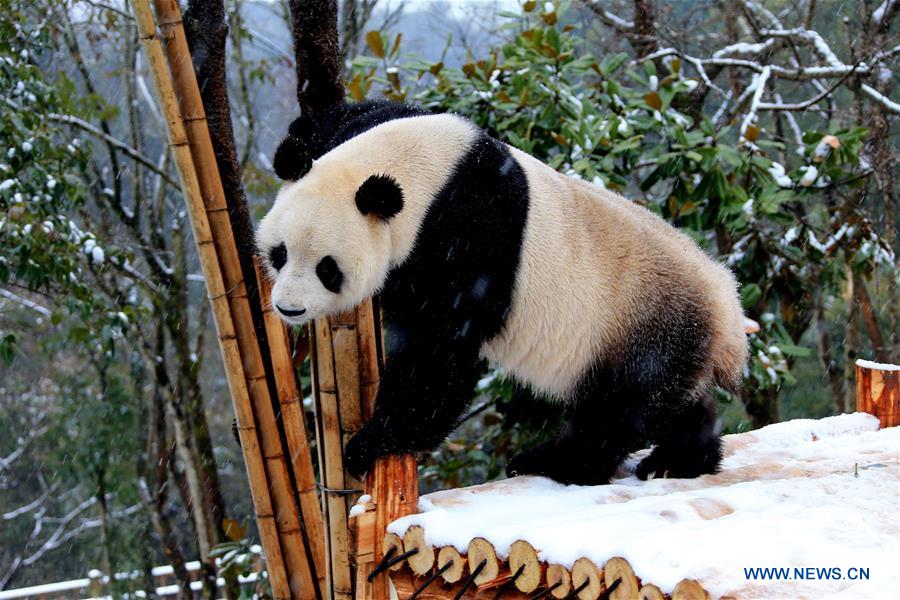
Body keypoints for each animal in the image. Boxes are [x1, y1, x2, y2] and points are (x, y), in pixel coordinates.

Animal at [256, 101, 748, 486]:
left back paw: (553, 462)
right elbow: (342, 120)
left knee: (620, 408)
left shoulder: (467, 240)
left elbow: (437, 351)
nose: (289, 308)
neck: (426, 175)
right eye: (280, 253)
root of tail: (728, 306)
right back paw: (684, 458)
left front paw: (371, 443)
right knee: (673, 404)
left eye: (327, 269)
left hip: (647, 328)